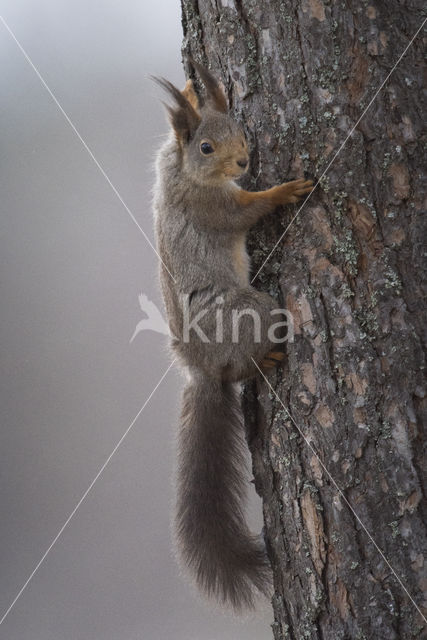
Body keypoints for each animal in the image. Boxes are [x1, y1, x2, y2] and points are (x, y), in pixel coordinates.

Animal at [152, 60, 312, 608]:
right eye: (205, 147)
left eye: (240, 129)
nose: (244, 161)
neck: (182, 170)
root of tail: (199, 367)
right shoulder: (210, 207)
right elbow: (244, 211)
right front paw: (285, 191)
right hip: (250, 312)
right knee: (240, 364)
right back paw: (265, 360)